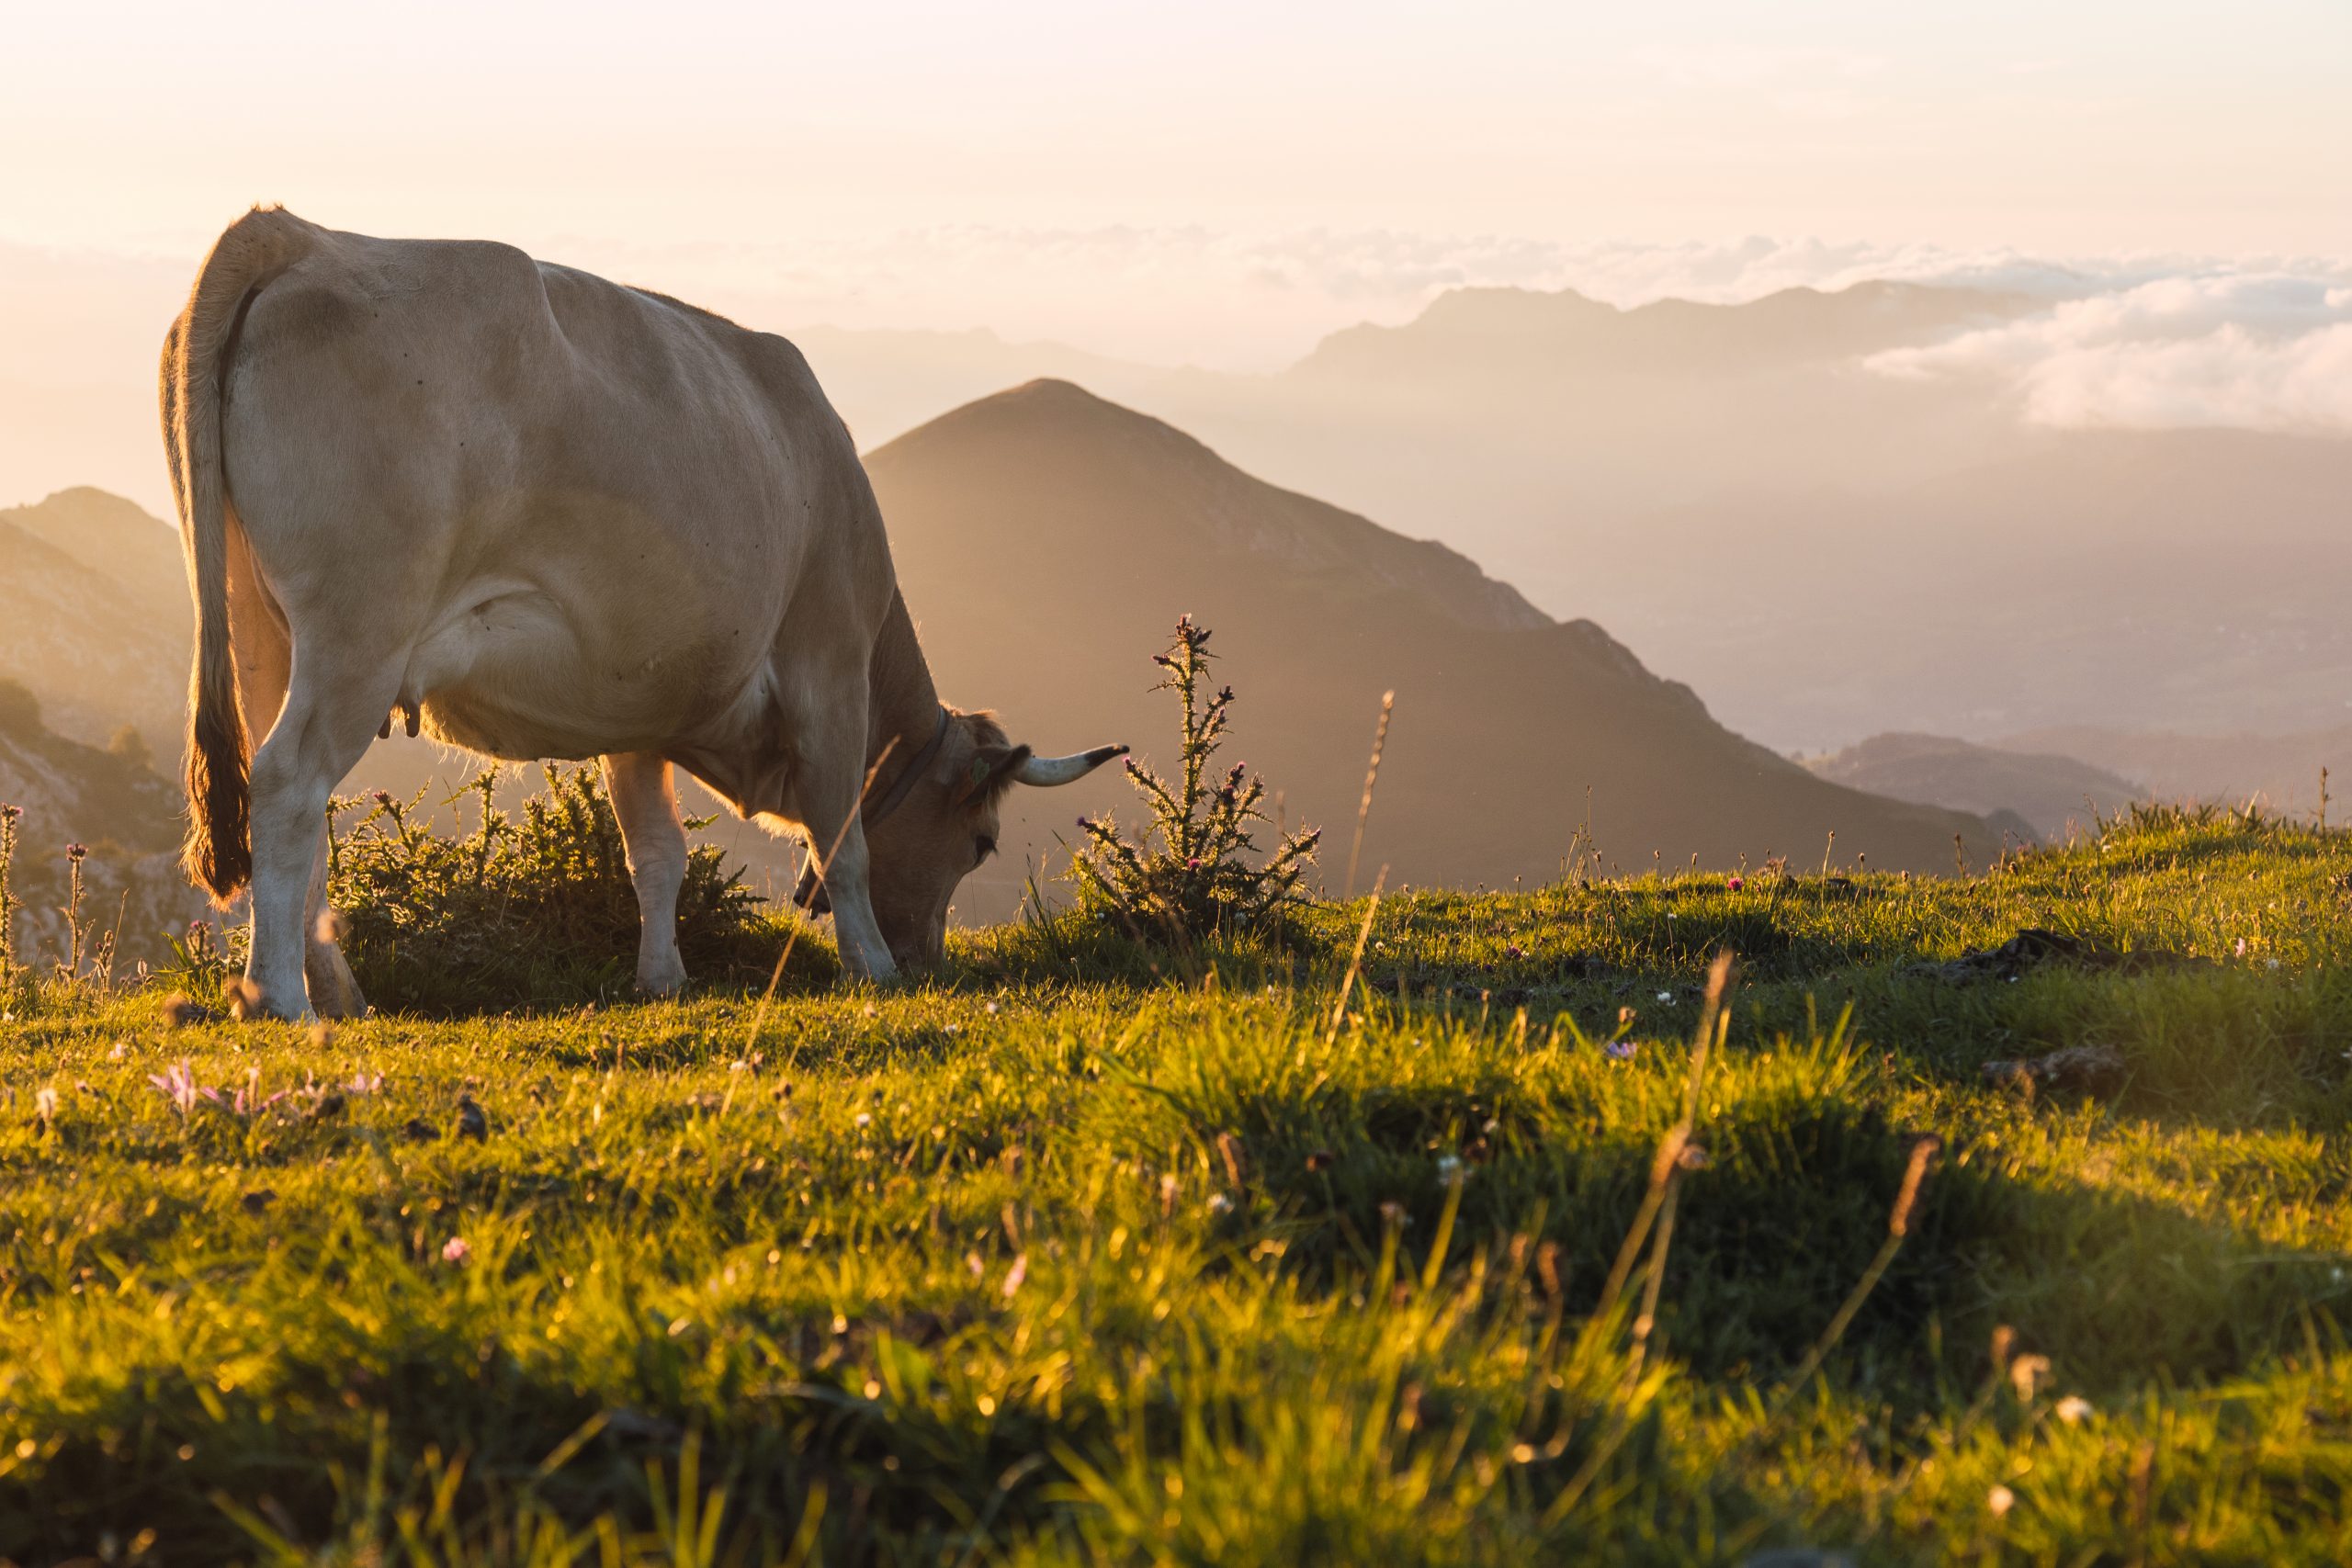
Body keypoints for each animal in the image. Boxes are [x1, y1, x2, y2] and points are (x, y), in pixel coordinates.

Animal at [161, 205, 1124, 1020]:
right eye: (981, 842)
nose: (932, 962)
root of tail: (301, 234)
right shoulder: (829, 659)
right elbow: (840, 840)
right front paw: (872, 967)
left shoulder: (635, 704)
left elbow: (657, 852)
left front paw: (662, 976)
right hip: (359, 630)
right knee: (288, 783)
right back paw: (279, 995)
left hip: (263, 630)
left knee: (293, 801)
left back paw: (341, 993)